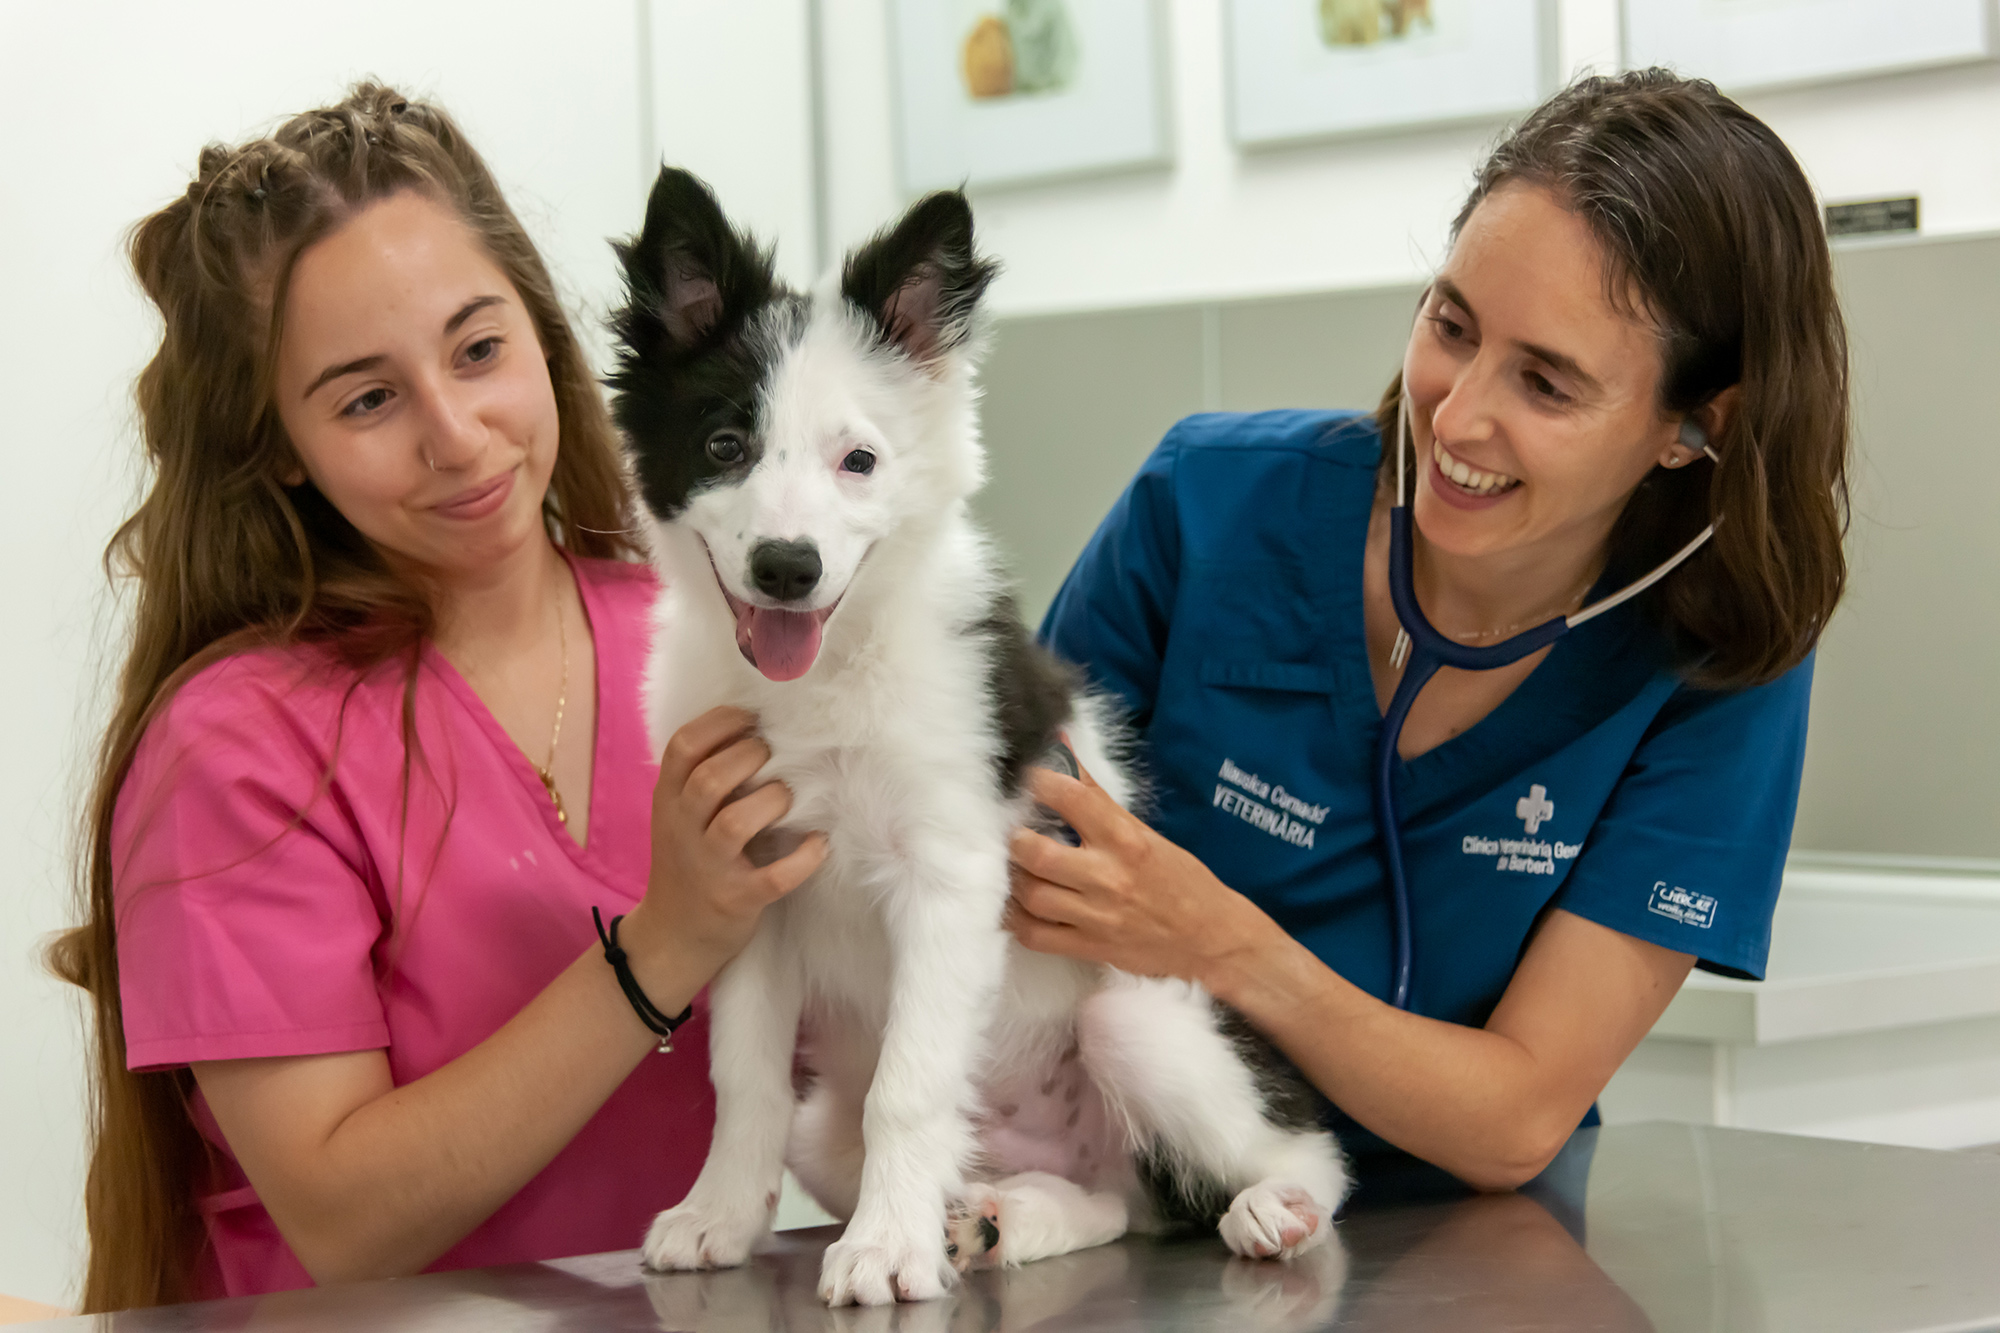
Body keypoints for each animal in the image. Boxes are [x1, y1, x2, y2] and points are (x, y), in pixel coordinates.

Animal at [608, 169, 1352, 1304]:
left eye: (858, 460)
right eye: (724, 445)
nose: (786, 565)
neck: (833, 670)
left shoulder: (949, 872)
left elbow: (909, 1084)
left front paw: (884, 1248)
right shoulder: (746, 881)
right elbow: (745, 1079)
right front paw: (720, 1216)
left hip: (1142, 1017)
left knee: (1301, 1156)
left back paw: (1275, 1207)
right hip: (848, 1130)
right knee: (1113, 1207)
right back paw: (1001, 1216)